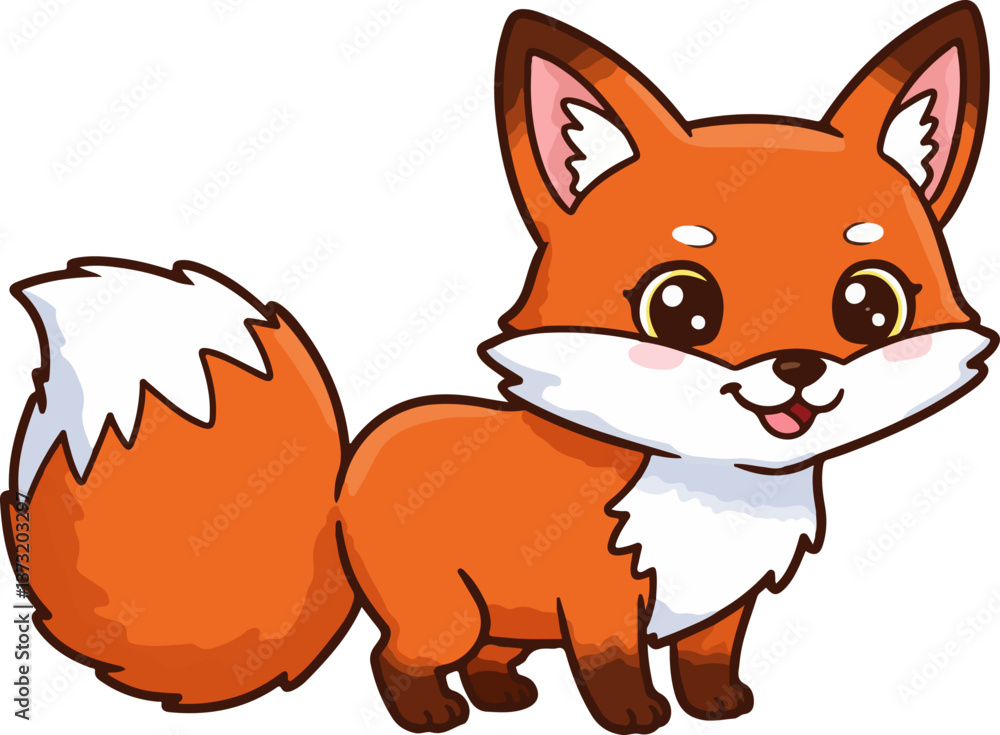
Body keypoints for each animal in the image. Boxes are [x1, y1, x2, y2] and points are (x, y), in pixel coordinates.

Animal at [2, 4, 996, 734]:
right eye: (680, 306)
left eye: (869, 305)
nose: (797, 368)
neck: (711, 493)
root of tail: (342, 476)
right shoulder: (600, 593)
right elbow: (613, 665)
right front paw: (636, 717)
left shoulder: (722, 605)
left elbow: (707, 656)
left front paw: (718, 707)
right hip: (443, 609)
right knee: (395, 657)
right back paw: (433, 714)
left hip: (497, 616)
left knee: (488, 656)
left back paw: (505, 697)